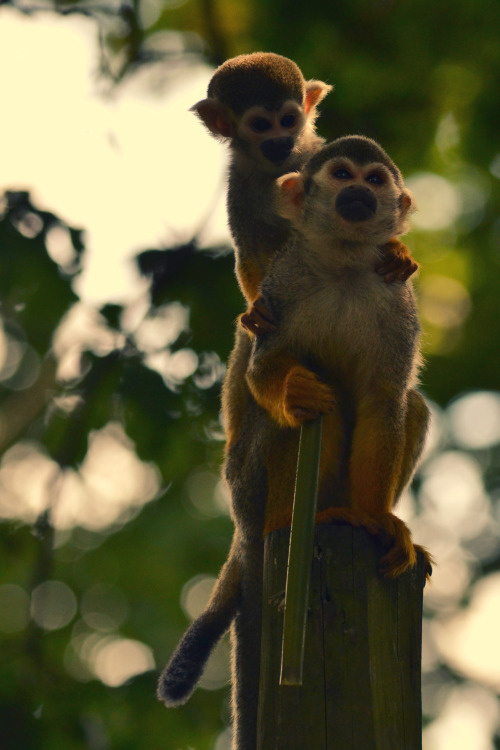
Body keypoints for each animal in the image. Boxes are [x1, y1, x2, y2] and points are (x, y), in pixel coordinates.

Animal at [244, 135, 432, 580]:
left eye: (375, 179)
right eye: (343, 174)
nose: (360, 191)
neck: (344, 263)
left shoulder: (398, 302)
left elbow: (383, 401)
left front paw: (378, 519)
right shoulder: (282, 283)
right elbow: (263, 370)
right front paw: (294, 390)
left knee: (410, 404)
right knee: (297, 416)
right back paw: (288, 521)